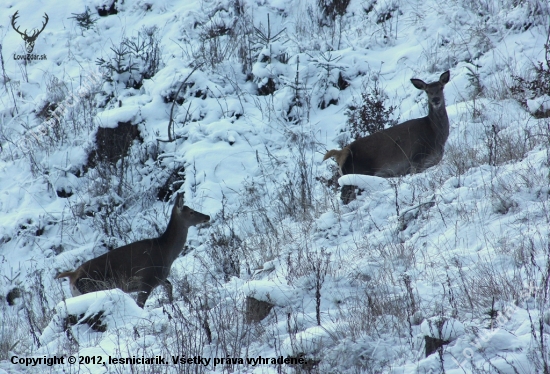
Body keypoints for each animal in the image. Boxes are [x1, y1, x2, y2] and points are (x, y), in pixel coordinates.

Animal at [55, 194, 211, 308]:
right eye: (191, 212)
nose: (207, 216)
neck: (167, 252)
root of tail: (72, 275)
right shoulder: (147, 278)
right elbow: (140, 305)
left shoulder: (159, 278)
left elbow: (169, 286)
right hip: (92, 288)